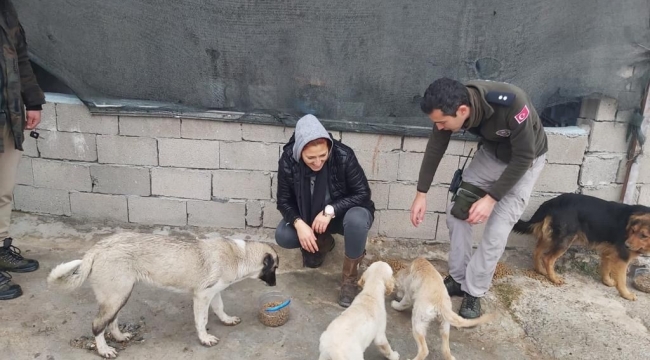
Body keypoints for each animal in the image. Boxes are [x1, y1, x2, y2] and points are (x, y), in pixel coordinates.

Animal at [47, 232, 276, 358]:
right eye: (274, 268)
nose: (274, 284)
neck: (239, 256)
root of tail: (97, 248)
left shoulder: (214, 292)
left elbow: (220, 308)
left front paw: (227, 320)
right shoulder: (202, 296)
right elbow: (201, 321)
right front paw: (204, 339)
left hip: (120, 294)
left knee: (111, 321)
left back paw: (120, 337)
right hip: (116, 296)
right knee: (98, 325)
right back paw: (104, 350)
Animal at [512, 194, 648, 300]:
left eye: (643, 235)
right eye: (633, 231)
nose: (626, 245)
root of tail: (553, 201)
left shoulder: (609, 252)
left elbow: (606, 268)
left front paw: (607, 282)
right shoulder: (622, 258)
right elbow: (622, 279)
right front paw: (626, 294)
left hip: (550, 236)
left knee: (537, 252)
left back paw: (540, 270)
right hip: (565, 239)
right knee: (548, 258)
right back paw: (554, 278)